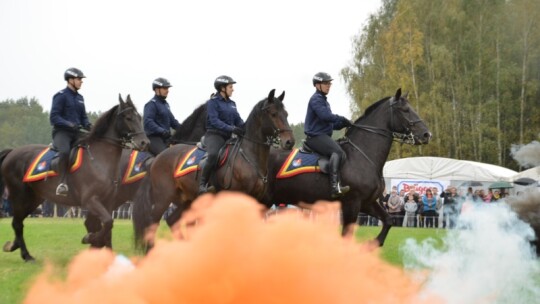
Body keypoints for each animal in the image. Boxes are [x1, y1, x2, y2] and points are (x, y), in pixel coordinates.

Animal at [0, 95, 148, 262]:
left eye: (139, 117)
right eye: (128, 118)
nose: (144, 142)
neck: (99, 159)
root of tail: (12, 152)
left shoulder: (108, 201)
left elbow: (107, 227)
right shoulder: (90, 200)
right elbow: (107, 223)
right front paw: (89, 238)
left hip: (34, 199)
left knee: (18, 222)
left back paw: (15, 246)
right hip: (20, 196)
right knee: (17, 223)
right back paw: (26, 255)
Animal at [264, 89, 430, 246]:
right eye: (405, 110)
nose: (427, 134)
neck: (362, 155)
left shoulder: (367, 202)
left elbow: (388, 220)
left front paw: (372, 245)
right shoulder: (352, 203)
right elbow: (346, 236)